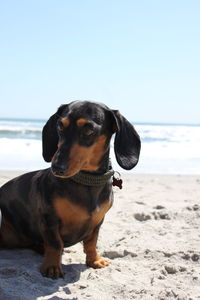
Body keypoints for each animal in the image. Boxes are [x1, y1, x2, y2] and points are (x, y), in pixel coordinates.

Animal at [0, 101, 141, 278]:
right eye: (60, 126)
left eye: (88, 129)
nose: (56, 168)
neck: (86, 181)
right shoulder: (49, 219)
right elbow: (55, 243)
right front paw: (52, 266)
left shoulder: (98, 222)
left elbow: (91, 242)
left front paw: (94, 260)